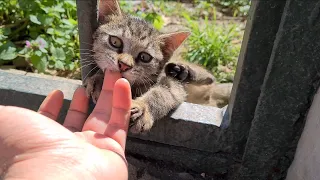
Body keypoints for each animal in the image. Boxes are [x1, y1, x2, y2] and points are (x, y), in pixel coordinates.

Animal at [83, 0, 225, 132]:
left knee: (210, 76)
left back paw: (185, 71)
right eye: (115, 41)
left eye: (145, 57)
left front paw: (143, 108)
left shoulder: (173, 85)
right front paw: (99, 80)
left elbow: (162, 93)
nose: (123, 65)